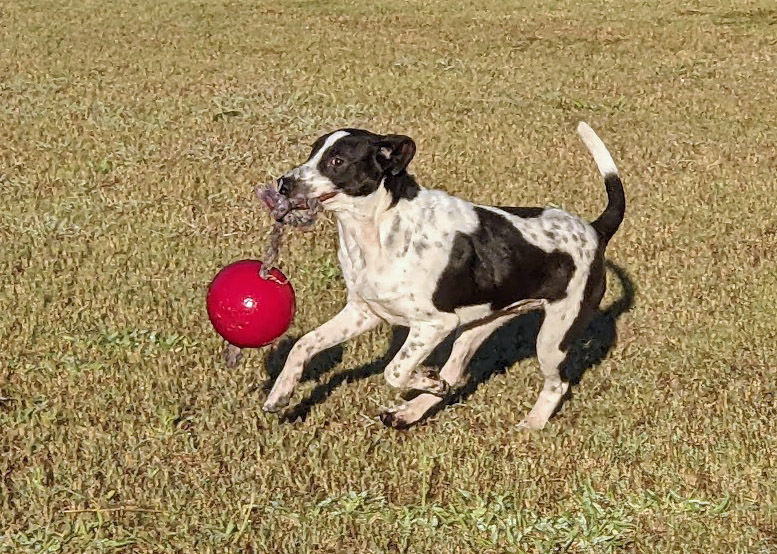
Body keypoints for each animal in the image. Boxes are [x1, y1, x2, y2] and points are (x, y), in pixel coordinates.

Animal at [260, 123, 624, 430]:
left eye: (336, 161)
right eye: (312, 153)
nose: (284, 183)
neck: (380, 229)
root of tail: (594, 230)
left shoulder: (434, 324)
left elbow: (395, 370)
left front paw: (425, 378)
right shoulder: (364, 312)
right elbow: (303, 345)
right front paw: (280, 394)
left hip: (553, 335)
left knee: (557, 384)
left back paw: (531, 423)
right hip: (479, 325)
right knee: (455, 373)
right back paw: (409, 412)